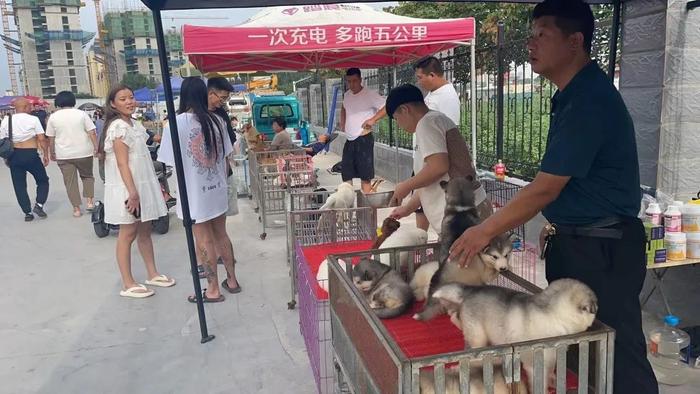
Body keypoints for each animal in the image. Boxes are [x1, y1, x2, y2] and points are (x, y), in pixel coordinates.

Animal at [432, 278, 596, 392]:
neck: (552, 313)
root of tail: (472, 290)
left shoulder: (552, 355)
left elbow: (550, 370)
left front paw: (553, 380)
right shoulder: (534, 362)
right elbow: (539, 380)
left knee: (454, 317)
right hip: (478, 336)